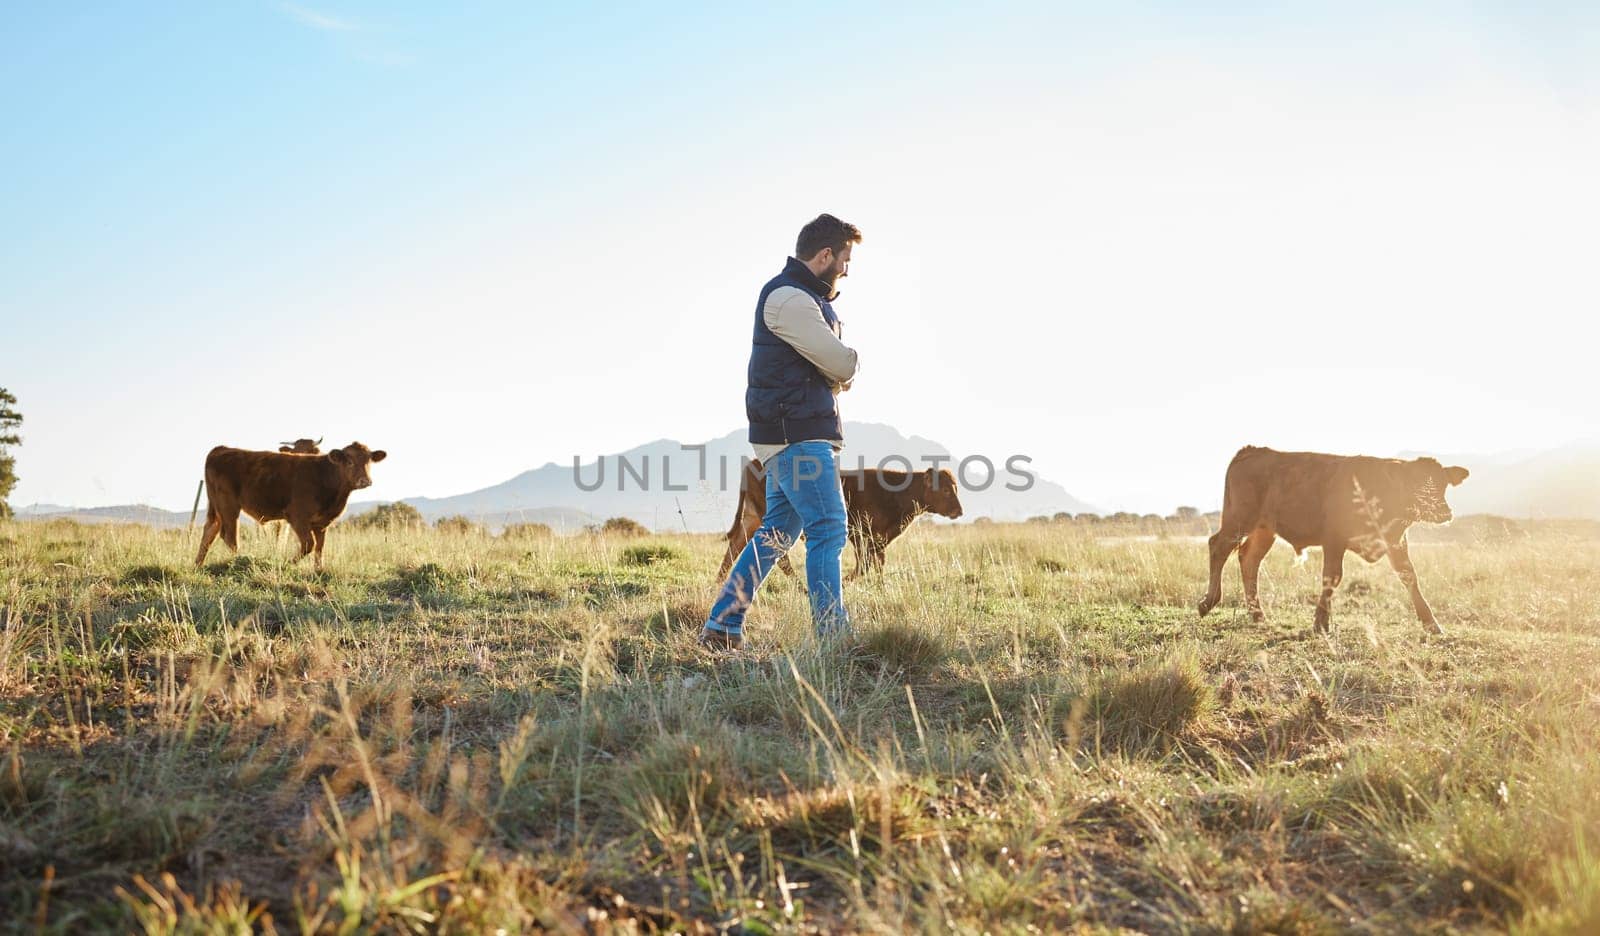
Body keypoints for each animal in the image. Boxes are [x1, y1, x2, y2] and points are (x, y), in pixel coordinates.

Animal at [196, 438, 387, 569]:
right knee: (229, 536)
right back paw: (243, 560)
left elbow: (320, 548)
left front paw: (319, 570)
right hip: (228, 506)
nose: (365, 481)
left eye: (369, 461)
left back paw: (198, 564)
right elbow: (309, 545)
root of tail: (221, 449)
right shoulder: (297, 517)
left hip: (217, 508)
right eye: (349, 461)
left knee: (209, 531)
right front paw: (287, 563)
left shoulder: (322, 523)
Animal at [716, 460, 960, 576]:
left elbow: (877, 564)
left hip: (751, 519)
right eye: (946, 490)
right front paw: (845, 584)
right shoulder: (858, 534)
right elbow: (864, 565)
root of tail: (753, 463)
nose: (959, 511)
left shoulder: (879, 539)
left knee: (734, 549)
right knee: (779, 559)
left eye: (955, 488)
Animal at [1203, 444, 1465, 633]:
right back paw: (1208, 602)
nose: (1444, 512)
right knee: (1218, 546)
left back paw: (1258, 615)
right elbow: (1332, 577)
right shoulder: (1334, 539)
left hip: (1264, 530)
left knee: (1249, 560)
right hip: (1239, 520)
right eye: (1414, 483)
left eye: (1443, 484)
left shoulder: (1396, 542)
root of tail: (1254, 450)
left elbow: (1409, 576)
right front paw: (1321, 623)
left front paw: (1431, 623)